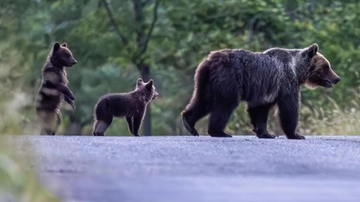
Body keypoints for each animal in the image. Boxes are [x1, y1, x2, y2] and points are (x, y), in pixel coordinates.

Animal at [183, 43, 340, 139]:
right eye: (326, 66)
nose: (337, 78)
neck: (297, 70)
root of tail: (209, 61)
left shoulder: (267, 89)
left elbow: (259, 109)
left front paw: (266, 133)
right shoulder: (286, 82)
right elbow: (289, 108)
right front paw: (296, 134)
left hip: (205, 81)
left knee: (203, 101)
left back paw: (189, 124)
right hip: (229, 79)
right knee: (225, 105)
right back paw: (219, 132)